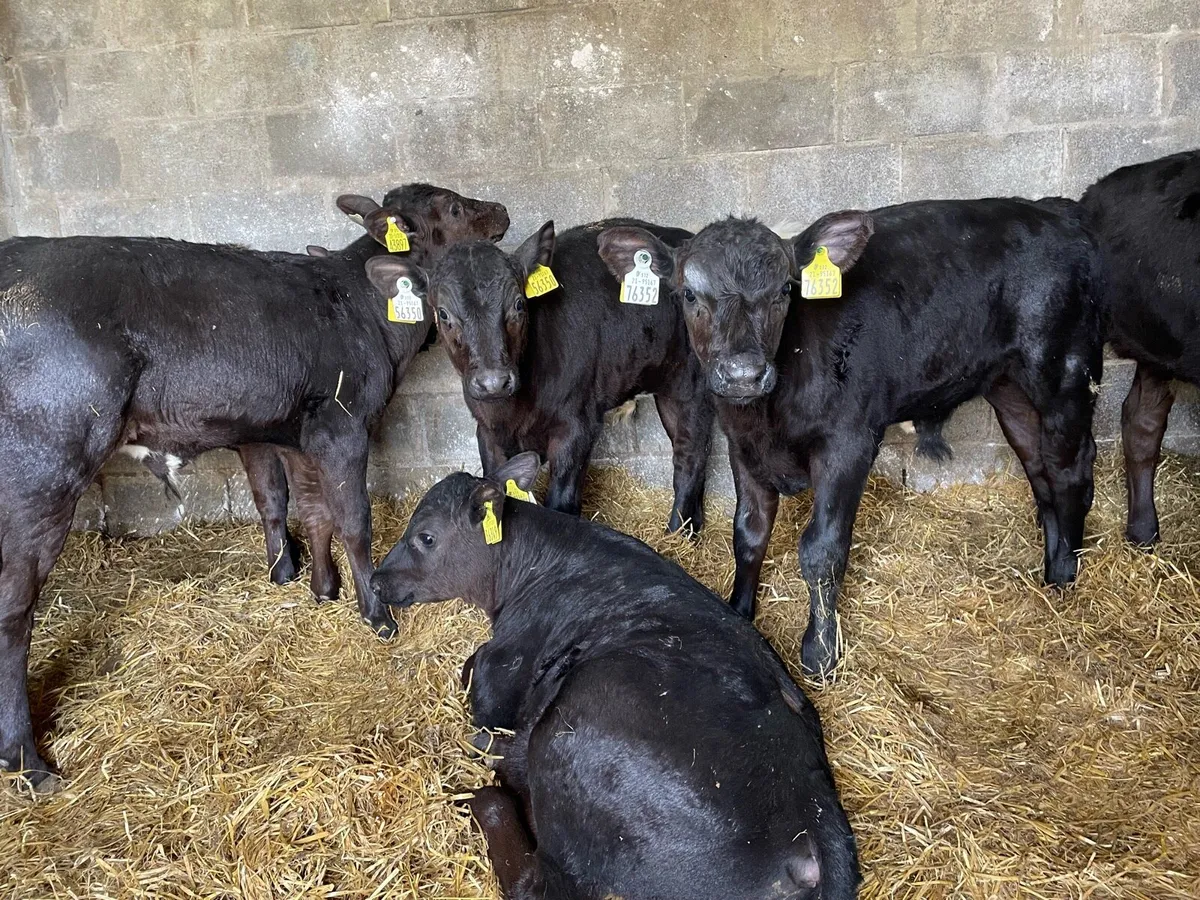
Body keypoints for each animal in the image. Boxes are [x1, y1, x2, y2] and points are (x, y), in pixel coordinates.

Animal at [0, 187, 508, 787]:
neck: (366, 311)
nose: (501, 211)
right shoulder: (342, 424)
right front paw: (376, 613)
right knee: (13, 607)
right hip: (42, 470)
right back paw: (26, 759)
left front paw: (318, 587)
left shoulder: (291, 432)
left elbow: (302, 508)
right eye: (452, 207)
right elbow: (352, 520)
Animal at [363, 219, 714, 534]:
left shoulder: (577, 426)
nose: (493, 381)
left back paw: (678, 534)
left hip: (690, 385)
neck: (514, 408)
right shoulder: (486, 431)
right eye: (444, 314)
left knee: (690, 455)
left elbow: (561, 500)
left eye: (519, 305)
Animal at [369, 452, 860, 900]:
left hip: (572, 735)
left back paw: (485, 791)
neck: (532, 564)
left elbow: (473, 673)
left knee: (537, 880)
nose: (375, 580)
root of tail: (814, 813)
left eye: (426, 537)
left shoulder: (500, 668)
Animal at [599, 199, 1105, 678]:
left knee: (1071, 470)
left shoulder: (849, 443)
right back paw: (1050, 569)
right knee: (1039, 468)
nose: (743, 374)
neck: (769, 414)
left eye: (785, 290)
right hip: (1008, 387)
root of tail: (1058, 211)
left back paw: (1065, 577)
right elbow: (749, 533)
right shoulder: (743, 445)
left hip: (1065, 373)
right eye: (688, 294)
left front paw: (820, 654)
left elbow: (821, 550)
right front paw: (739, 613)